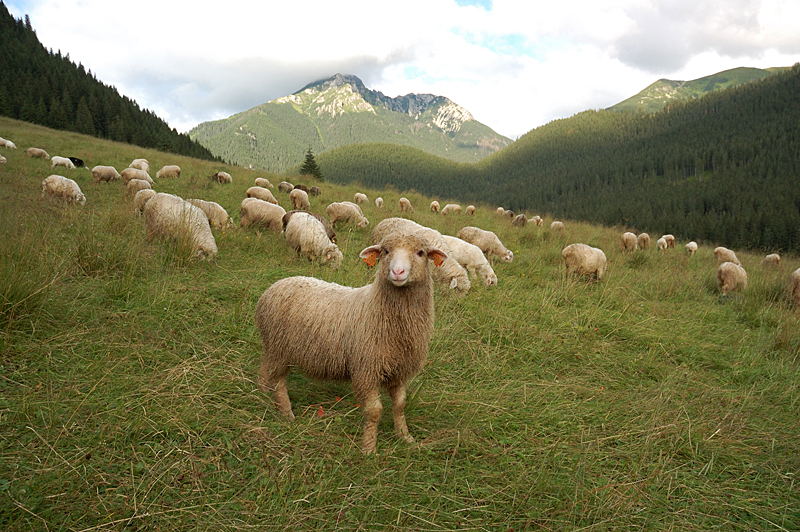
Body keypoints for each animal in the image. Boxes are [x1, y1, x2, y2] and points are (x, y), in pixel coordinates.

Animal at [255, 230, 446, 454]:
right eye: (386, 251)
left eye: (420, 252)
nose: (397, 271)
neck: (377, 309)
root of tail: (273, 287)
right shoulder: (366, 370)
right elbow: (374, 411)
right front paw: (369, 449)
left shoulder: (399, 370)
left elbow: (400, 405)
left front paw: (405, 437)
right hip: (280, 348)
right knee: (278, 381)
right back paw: (286, 413)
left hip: (272, 346)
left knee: (264, 364)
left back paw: (262, 390)